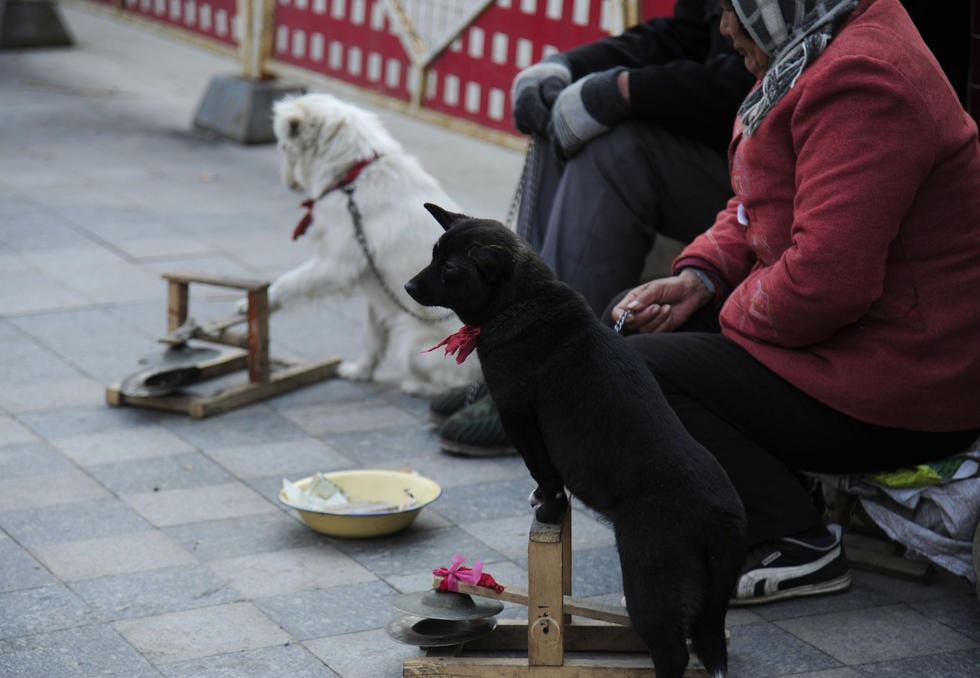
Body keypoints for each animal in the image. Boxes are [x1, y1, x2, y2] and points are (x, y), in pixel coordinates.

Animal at [247, 93, 480, 396]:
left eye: (284, 147)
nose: (286, 182)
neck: (353, 174)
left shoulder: (334, 265)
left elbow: (290, 282)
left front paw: (256, 304)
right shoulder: (375, 287)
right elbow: (372, 338)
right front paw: (360, 372)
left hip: (413, 339)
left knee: (450, 384)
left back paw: (415, 385)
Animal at [404, 206, 744, 678]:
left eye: (450, 267)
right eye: (435, 255)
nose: (408, 286)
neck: (523, 299)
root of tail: (720, 518)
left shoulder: (520, 419)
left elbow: (545, 474)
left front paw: (547, 509)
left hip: (650, 583)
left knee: (673, 651)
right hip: (714, 598)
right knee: (711, 647)